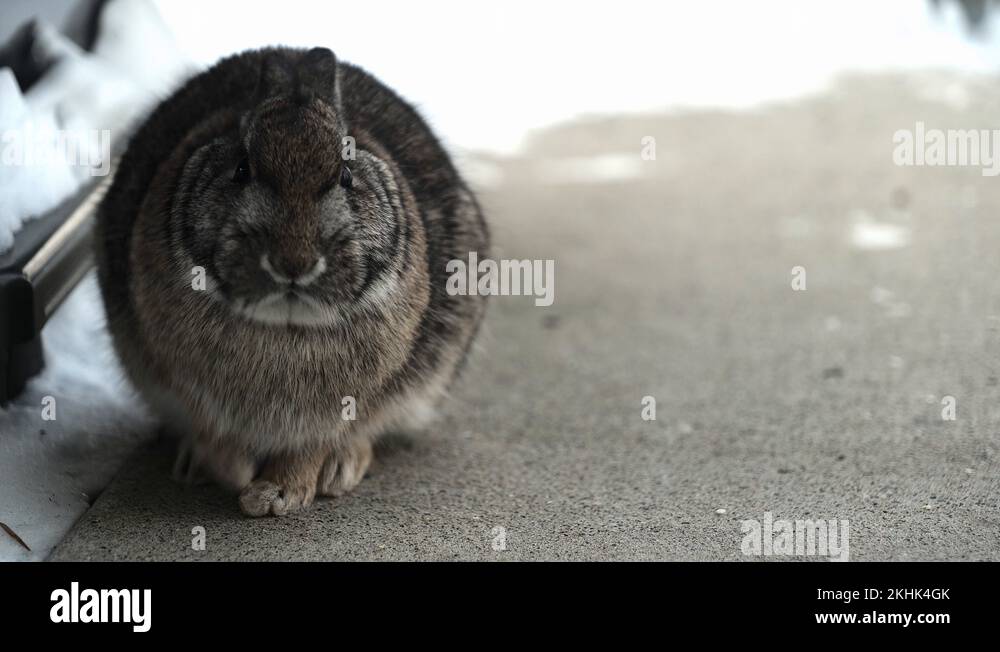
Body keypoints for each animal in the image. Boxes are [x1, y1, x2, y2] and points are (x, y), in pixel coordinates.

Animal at [94, 46, 489, 516]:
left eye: (346, 175)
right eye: (241, 169)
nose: (293, 263)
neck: (285, 325)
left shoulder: (333, 415)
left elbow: (309, 449)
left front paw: (275, 494)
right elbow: (215, 434)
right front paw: (231, 473)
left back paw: (341, 468)